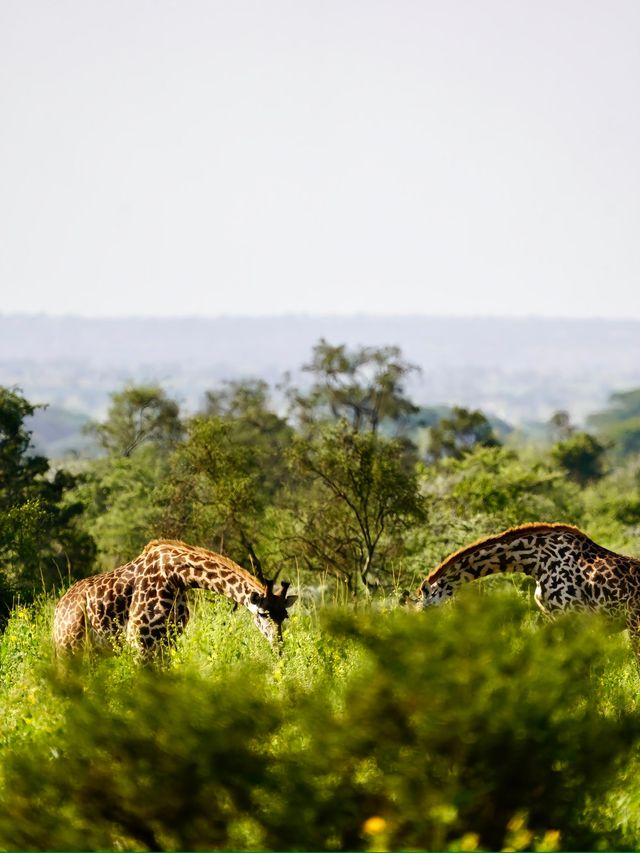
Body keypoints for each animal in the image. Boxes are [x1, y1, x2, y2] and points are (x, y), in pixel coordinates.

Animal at [52, 540, 298, 660]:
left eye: (284, 616)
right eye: (262, 614)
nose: (279, 646)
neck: (178, 577)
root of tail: (57, 612)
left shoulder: (167, 641)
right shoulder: (140, 642)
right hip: (69, 649)